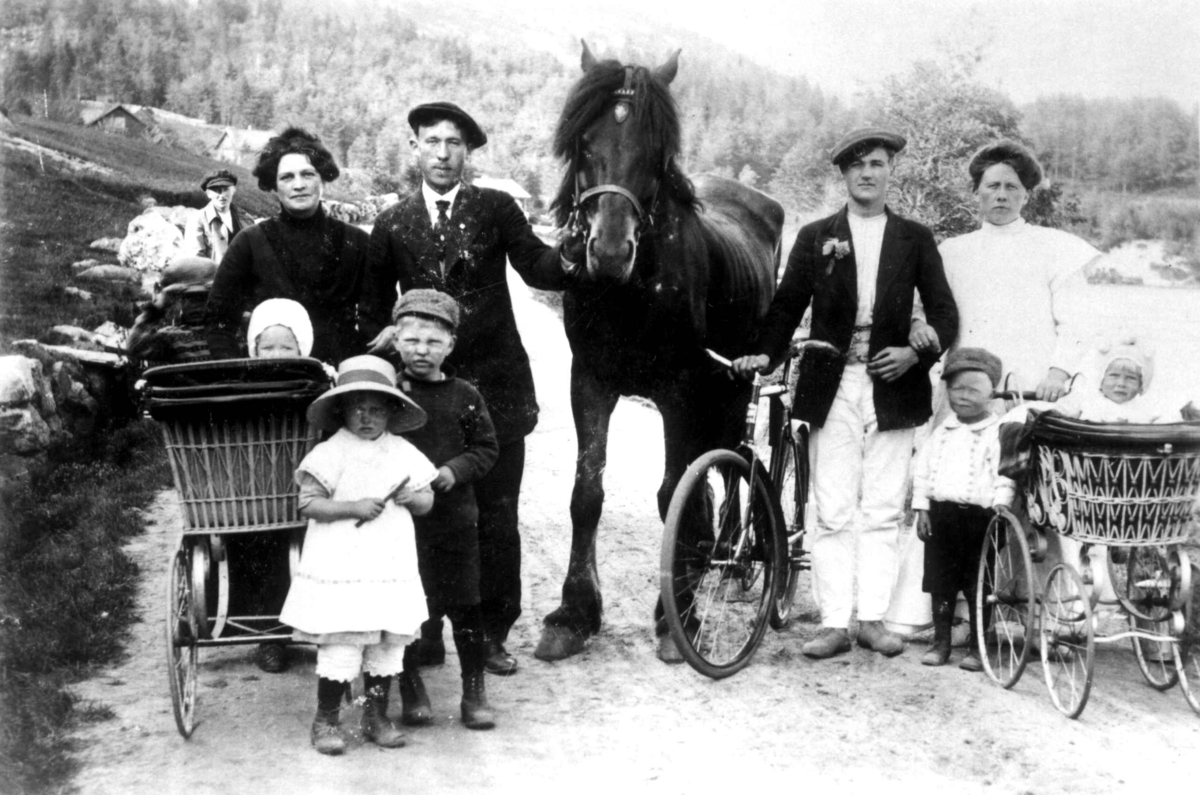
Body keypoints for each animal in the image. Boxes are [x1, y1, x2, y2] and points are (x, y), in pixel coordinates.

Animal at [537, 45, 787, 667]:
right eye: (585, 144)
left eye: (655, 154)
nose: (608, 252)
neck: (632, 292)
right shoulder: (591, 383)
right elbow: (587, 493)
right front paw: (573, 614)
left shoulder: (678, 390)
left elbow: (675, 489)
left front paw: (678, 615)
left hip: (730, 387)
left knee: (727, 465)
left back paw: (716, 557)